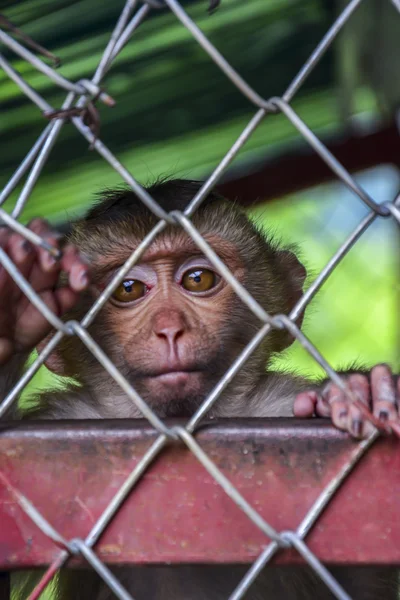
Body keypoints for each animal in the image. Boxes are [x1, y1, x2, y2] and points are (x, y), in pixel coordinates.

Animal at [0, 176, 398, 596]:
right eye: (128, 288)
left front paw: (362, 389)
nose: (169, 328)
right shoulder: (69, 417)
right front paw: (12, 304)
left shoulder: (278, 406)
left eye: (198, 279)